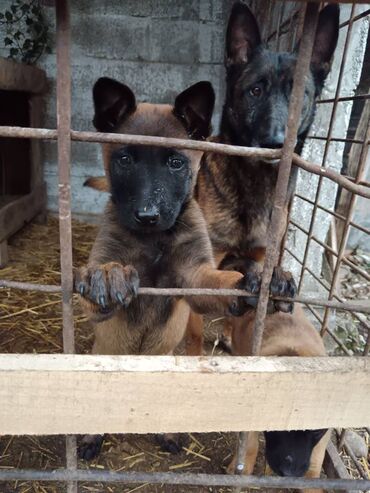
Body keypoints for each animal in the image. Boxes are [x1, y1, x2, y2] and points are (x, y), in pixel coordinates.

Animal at [186, 0, 340, 354]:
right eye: (255, 91)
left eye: (301, 97)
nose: (275, 142)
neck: (255, 184)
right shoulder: (208, 263)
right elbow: (197, 327)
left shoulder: (260, 251)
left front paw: (277, 277)